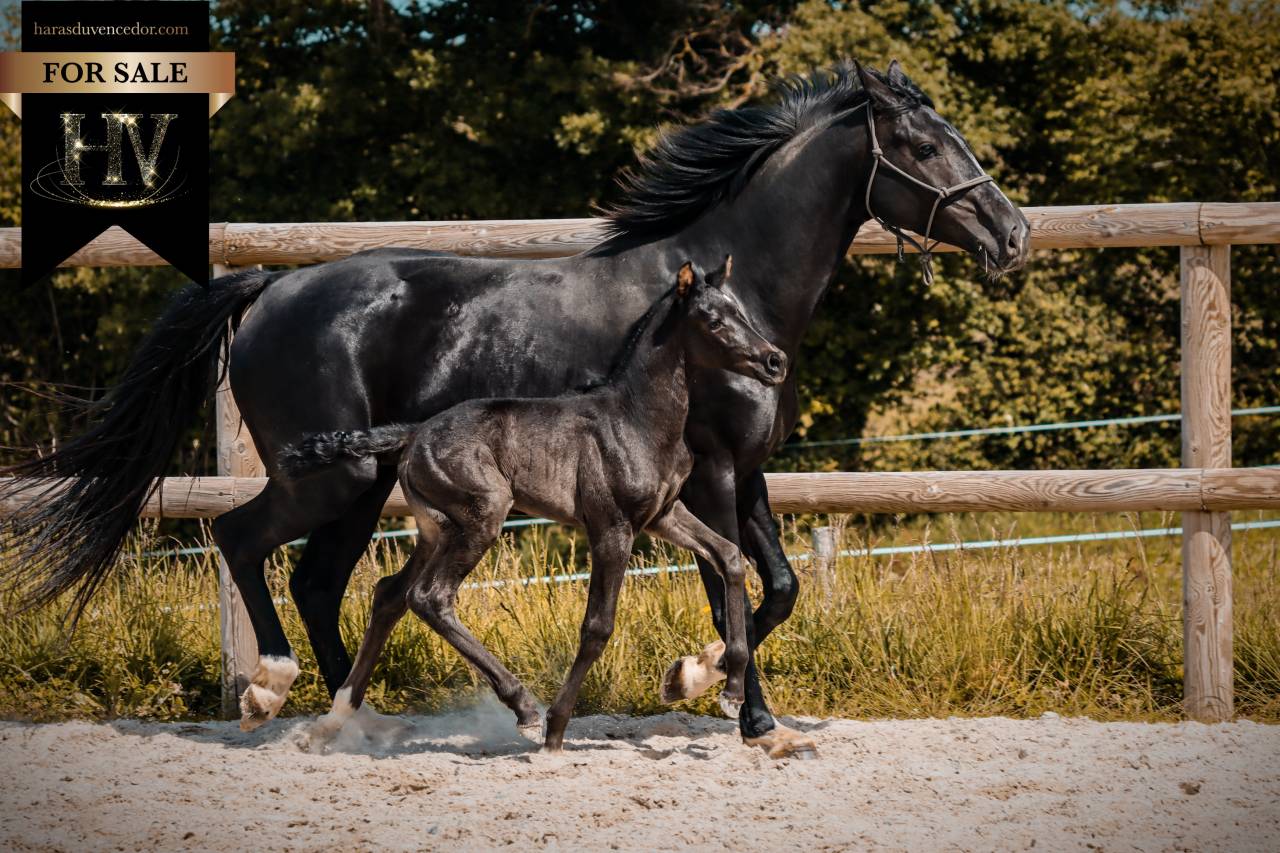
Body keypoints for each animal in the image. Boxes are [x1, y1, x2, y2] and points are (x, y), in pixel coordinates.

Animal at [291, 256, 784, 751]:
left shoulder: (665, 516)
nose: (774, 361)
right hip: (483, 517)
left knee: (390, 594)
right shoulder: (612, 528)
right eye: (713, 321)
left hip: (437, 531)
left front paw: (728, 691)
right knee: (429, 597)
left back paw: (336, 718)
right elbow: (597, 627)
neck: (637, 419)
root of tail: (413, 433)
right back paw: (525, 709)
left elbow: (730, 558)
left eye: (739, 310)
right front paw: (556, 729)